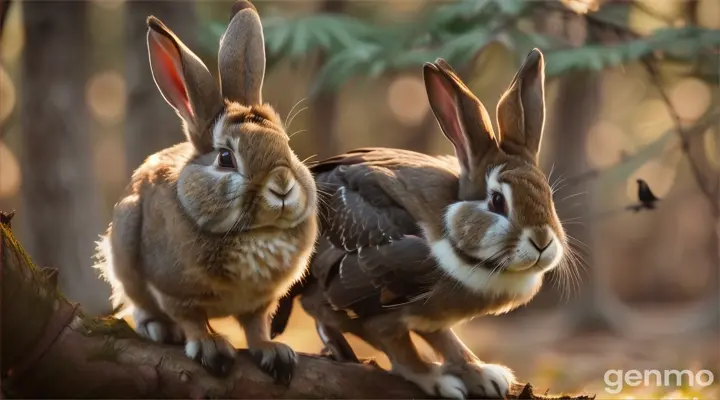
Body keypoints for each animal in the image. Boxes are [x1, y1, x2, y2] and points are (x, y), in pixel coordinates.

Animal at [94, 0, 320, 382]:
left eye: (287, 147)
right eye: (226, 158)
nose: (282, 186)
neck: (255, 233)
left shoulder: (260, 303)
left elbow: (256, 326)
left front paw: (272, 352)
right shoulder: (172, 289)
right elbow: (192, 320)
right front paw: (210, 347)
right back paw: (159, 328)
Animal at [268, 48, 564, 398]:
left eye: (548, 195)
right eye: (497, 201)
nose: (542, 241)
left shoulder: (432, 315)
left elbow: (447, 341)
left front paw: (485, 376)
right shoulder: (380, 312)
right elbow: (401, 351)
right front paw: (440, 381)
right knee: (316, 309)